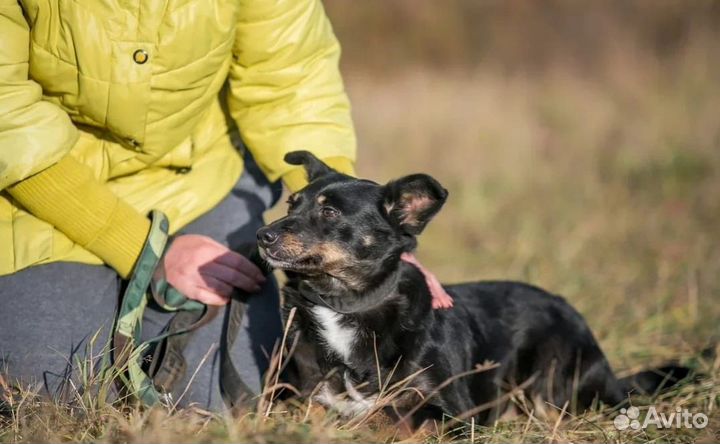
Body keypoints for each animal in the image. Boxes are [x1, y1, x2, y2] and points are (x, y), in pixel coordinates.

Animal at [256, 152, 688, 426]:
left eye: (329, 212)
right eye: (292, 204)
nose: (263, 236)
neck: (345, 303)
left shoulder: (451, 411)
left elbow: (402, 424)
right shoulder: (294, 398)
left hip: (551, 383)